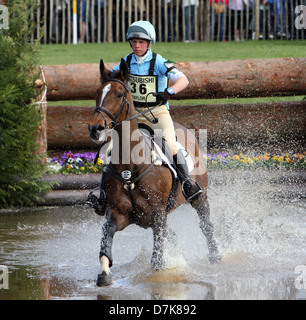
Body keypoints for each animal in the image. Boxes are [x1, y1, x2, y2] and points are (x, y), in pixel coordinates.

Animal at [88, 58, 220, 286]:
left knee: (206, 225)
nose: (96, 128)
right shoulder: (118, 214)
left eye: (119, 94)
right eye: (97, 92)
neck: (130, 168)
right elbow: (106, 239)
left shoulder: (158, 215)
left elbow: (157, 258)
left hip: (199, 197)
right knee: (172, 234)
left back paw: (215, 257)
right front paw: (104, 273)